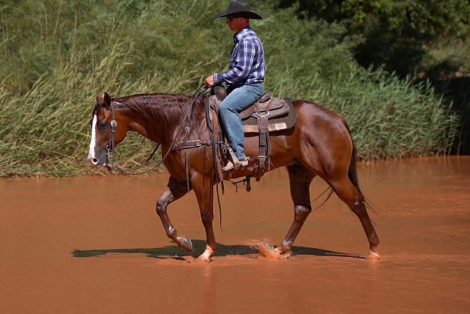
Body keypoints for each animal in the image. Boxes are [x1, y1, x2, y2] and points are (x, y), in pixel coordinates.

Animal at [88, 90, 380, 260]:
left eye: (102, 124)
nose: (93, 159)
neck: (181, 124)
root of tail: (338, 118)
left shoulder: (200, 178)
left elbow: (206, 215)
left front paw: (207, 252)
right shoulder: (181, 180)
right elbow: (160, 206)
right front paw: (184, 243)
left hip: (335, 175)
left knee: (356, 203)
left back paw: (374, 251)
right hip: (300, 172)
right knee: (302, 209)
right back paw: (280, 249)